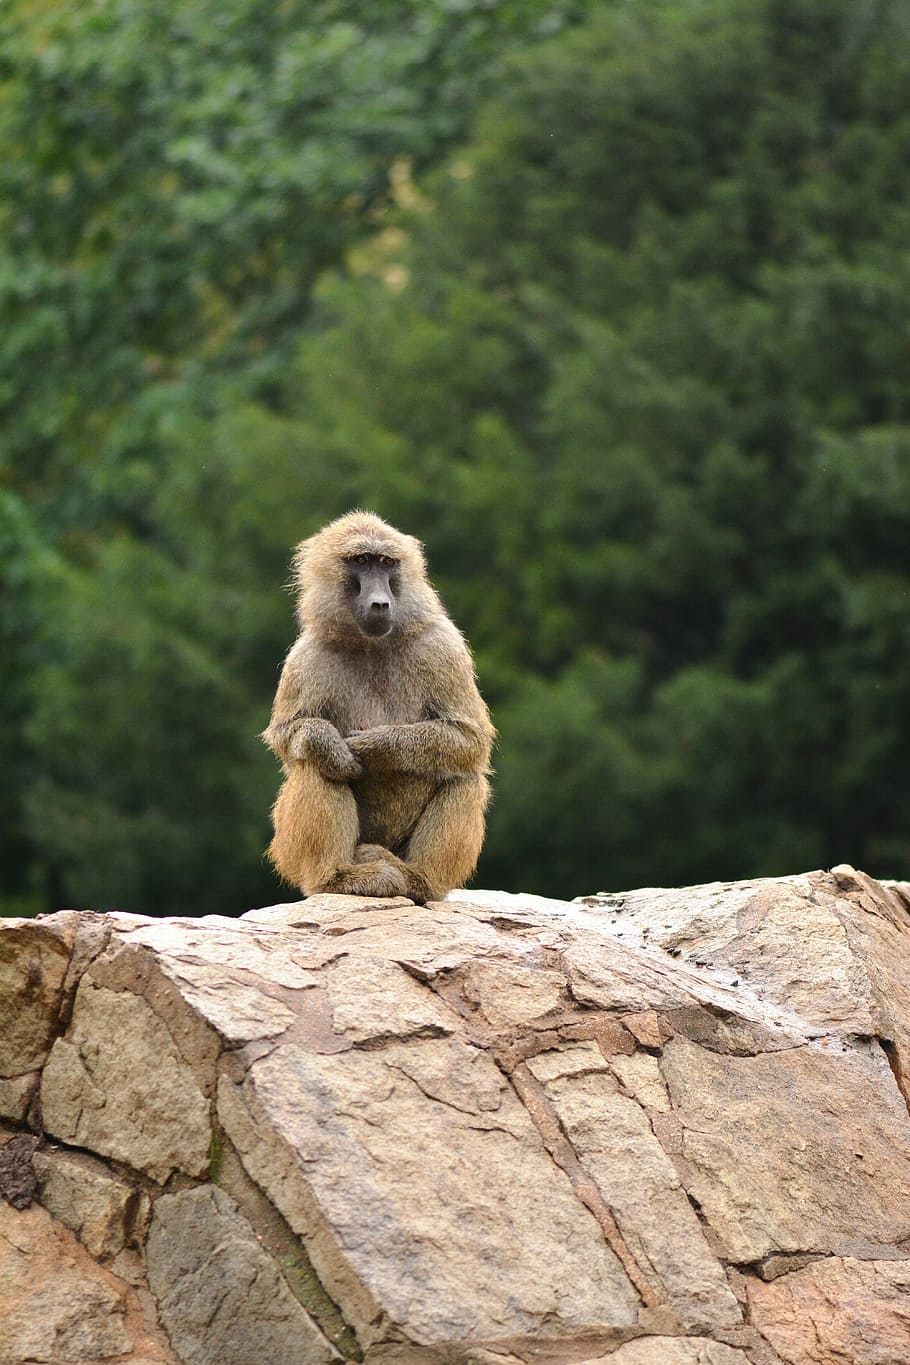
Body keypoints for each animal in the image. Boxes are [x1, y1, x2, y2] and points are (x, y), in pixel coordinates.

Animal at [263, 511, 495, 904]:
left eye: (386, 563)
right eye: (360, 561)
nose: (380, 604)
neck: (372, 644)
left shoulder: (443, 646)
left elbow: (470, 738)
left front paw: (376, 745)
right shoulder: (306, 657)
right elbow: (290, 734)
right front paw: (334, 747)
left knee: (463, 773)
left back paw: (418, 881)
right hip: (291, 852)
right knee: (315, 764)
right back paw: (338, 878)